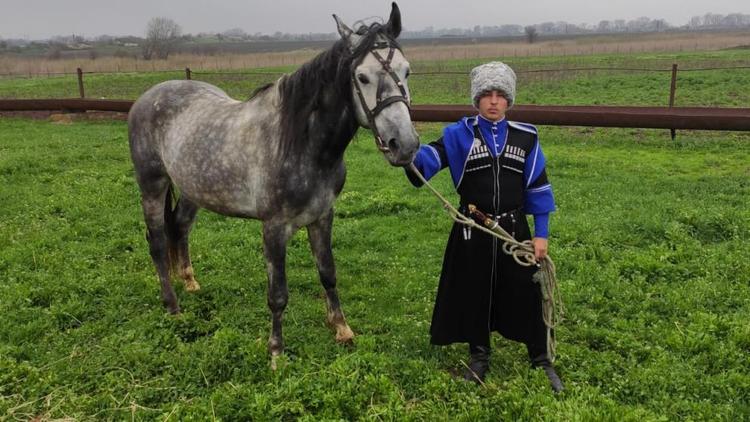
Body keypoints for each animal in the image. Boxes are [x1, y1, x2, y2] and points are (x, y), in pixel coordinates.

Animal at [130, 2, 424, 362]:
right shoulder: (273, 228)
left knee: (180, 228)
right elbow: (278, 294)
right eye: (362, 77)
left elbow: (328, 273)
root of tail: (149, 96)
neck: (301, 144)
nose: (404, 145)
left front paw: (342, 329)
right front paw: (276, 352)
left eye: (406, 71)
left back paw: (189, 282)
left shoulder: (322, 217)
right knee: (157, 240)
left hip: (192, 189)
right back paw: (172, 305)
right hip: (152, 184)